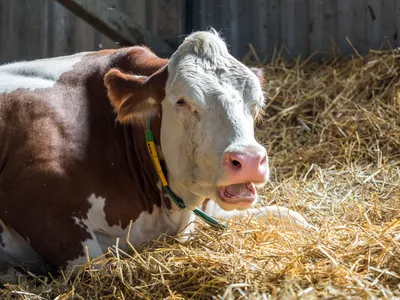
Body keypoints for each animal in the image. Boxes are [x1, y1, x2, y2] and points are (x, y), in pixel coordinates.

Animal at [0, 29, 310, 282]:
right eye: (182, 101)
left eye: (256, 104)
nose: (248, 161)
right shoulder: (30, 202)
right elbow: (98, 266)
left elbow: (292, 217)